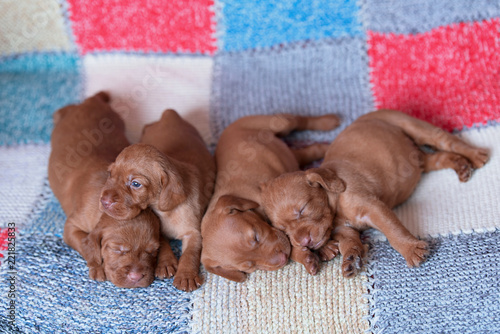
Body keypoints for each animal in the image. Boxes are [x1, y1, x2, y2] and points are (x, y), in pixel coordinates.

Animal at [47, 92, 160, 288]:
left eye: (152, 252)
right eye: (118, 250)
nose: (136, 277)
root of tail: (92, 100)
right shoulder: (71, 226)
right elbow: (84, 243)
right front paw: (96, 266)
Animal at [100, 110, 216, 292]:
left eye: (136, 184)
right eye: (110, 173)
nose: (104, 201)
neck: (165, 211)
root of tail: (170, 113)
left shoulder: (193, 233)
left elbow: (190, 254)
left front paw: (186, 275)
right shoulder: (158, 229)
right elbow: (163, 243)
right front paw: (166, 263)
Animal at [201, 113, 342, 280]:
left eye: (255, 236)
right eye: (249, 266)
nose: (281, 259)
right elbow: (292, 245)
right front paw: (307, 256)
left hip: (277, 123)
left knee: (300, 121)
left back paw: (328, 121)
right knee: (308, 151)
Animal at [264, 109, 490, 276]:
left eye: (302, 210)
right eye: (283, 230)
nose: (303, 243)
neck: (335, 204)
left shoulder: (373, 208)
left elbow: (393, 231)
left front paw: (411, 250)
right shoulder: (344, 229)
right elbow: (349, 242)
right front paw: (351, 259)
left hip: (411, 125)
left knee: (446, 140)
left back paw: (475, 154)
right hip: (419, 160)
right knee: (439, 158)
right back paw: (461, 165)